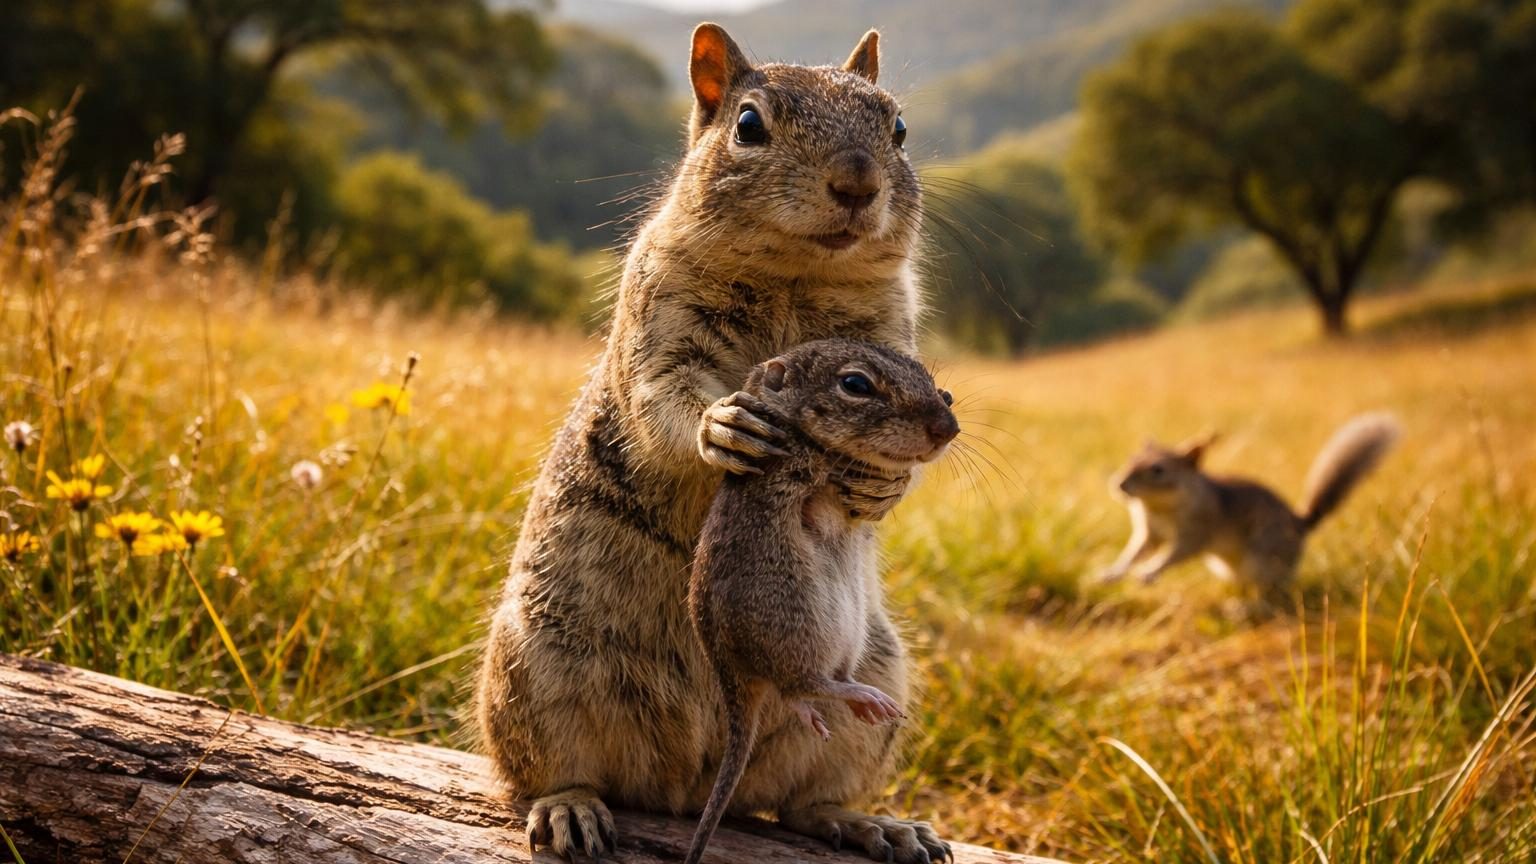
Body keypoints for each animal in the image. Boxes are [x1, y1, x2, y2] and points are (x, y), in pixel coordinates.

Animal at [685, 340, 958, 864]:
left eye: (938, 386)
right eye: (855, 384)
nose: (948, 428)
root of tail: (733, 676)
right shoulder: (813, 464)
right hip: (807, 626)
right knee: (798, 684)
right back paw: (860, 698)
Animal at [1098, 414, 1400, 607]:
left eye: (1158, 470)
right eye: (1131, 458)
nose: (1119, 484)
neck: (1158, 507)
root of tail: (1300, 526)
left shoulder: (1197, 530)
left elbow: (1175, 554)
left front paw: (1149, 572)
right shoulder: (1149, 533)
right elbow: (1135, 551)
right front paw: (1113, 572)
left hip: (1264, 559)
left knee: (1275, 595)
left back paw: (1248, 608)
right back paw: (1237, 600)